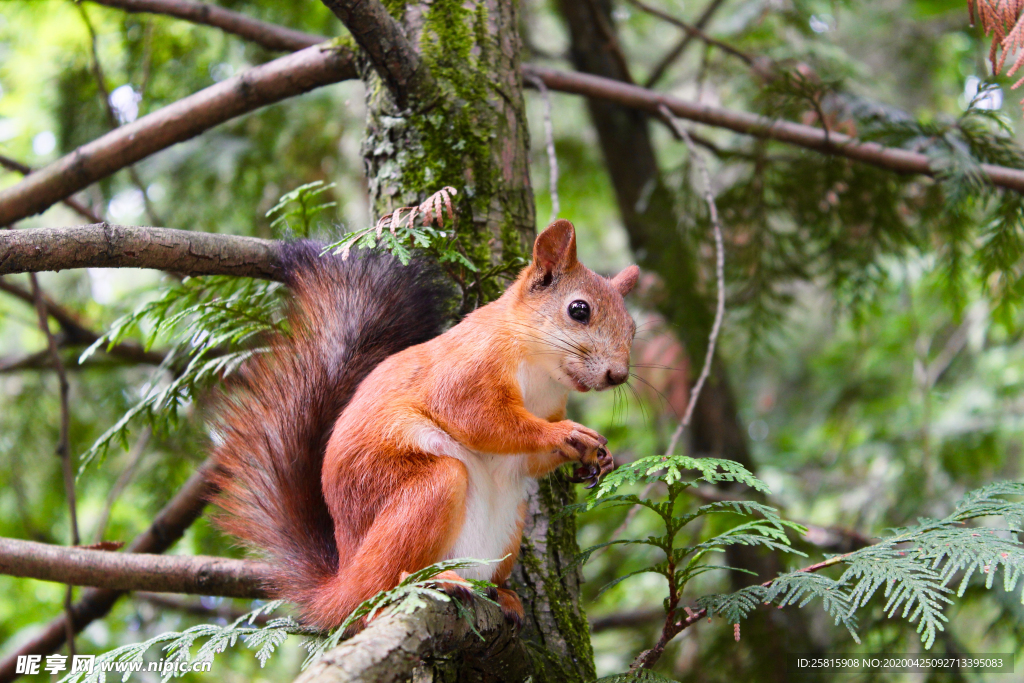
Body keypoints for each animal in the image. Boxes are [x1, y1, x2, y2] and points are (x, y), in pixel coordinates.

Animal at [210, 220, 634, 630]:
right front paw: (567, 434)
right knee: (380, 590)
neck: (540, 370)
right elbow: (484, 422)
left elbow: (527, 458)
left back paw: (503, 595)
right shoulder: (467, 371)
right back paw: (432, 581)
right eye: (578, 310)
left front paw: (597, 457)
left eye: (632, 327)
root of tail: (342, 584)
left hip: (509, 526)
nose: (618, 375)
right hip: (423, 490)